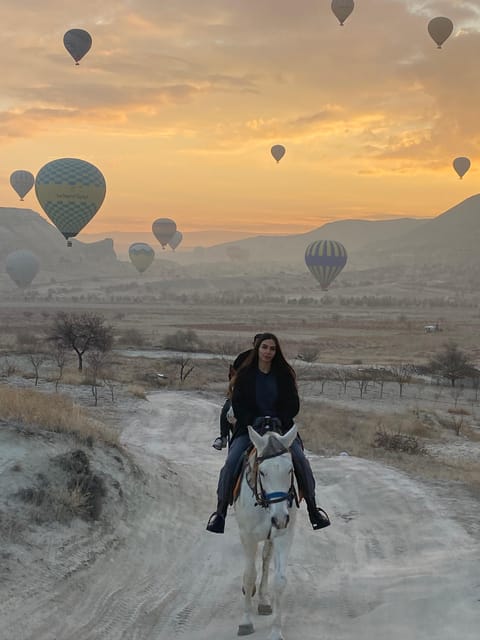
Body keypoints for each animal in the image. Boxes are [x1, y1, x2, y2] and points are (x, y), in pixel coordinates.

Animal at [234, 424, 298, 640]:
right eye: (262, 472)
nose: (279, 518)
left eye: (290, 470)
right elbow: (248, 575)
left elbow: (279, 580)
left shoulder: (283, 535)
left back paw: (263, 599)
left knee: (265, 559)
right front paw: (245, 622)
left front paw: (276, 631)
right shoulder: (247, 536)